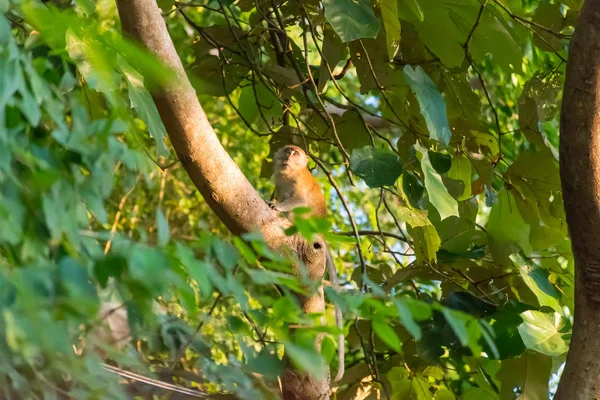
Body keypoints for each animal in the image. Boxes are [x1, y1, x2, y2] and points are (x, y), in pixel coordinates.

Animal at [268, 145, 346, 382]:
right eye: (287, 150)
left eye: (295, 154)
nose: (288, 155)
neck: (289, 172)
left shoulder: (297, 180)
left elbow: (299, 200)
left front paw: (277, 205)